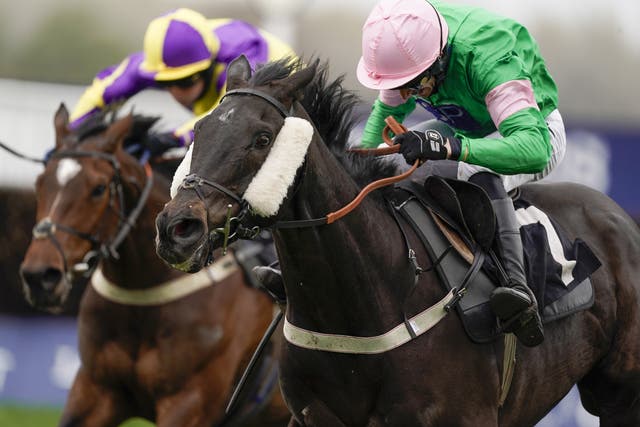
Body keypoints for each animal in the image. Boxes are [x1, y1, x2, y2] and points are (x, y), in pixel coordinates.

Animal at [19, 104, 290, 427]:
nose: (40, 276)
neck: (143, 298)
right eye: (39, 183)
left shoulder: (189, 400)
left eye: (99, 188)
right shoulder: (95, 390)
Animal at [155, 56, 640, 427]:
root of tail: (618, 215)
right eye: (199, 130)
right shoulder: (311, 416)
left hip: (619, 395)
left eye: (261, 138)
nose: (177, 228)